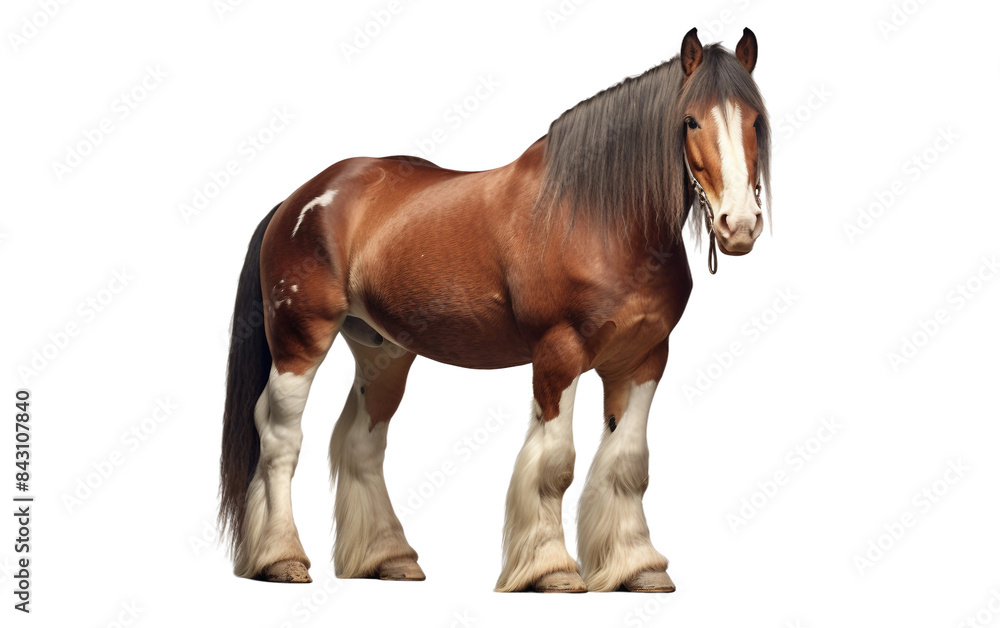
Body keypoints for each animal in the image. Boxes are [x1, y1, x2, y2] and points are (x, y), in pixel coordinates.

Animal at [219, 26, 771, 593]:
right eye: (690, 120)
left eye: (756, 120)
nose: (739, 224)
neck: (598, 218)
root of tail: (298, 199)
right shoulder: (558, 352)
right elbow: (555, 464)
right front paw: (551, 569)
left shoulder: (642, 359)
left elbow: (627, 464)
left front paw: (638, 567)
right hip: (300, 340)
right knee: (280, 439)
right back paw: (281, 558)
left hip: (382, 353)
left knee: (359, 442)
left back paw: (388, 558)